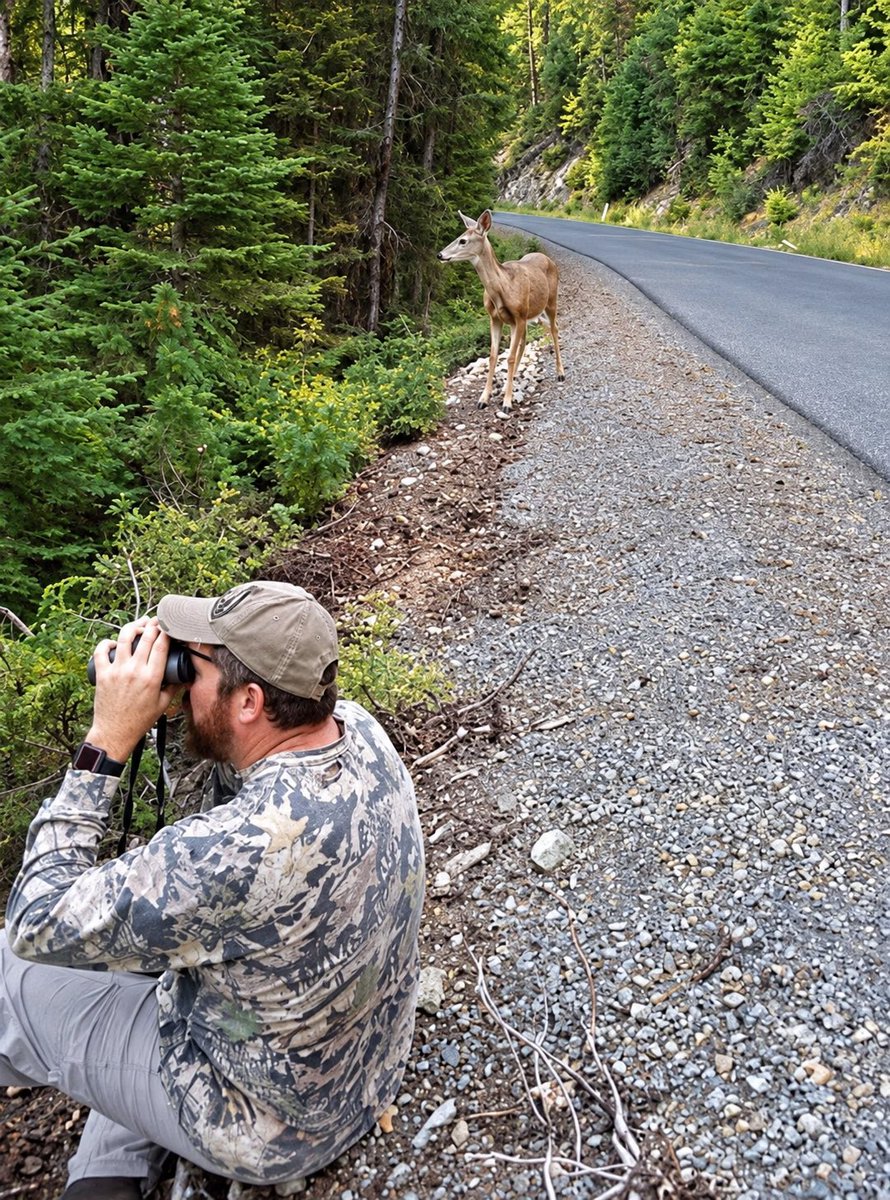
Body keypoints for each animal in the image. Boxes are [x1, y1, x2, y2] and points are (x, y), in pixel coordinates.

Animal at [437, 209, 565, 416]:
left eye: (463, 240)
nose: (440, 254)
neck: (502, 289)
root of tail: (548, 258)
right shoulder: (496, 319)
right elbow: (493, 356)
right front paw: (484, 398)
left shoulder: (518, 316)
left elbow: (510, 357)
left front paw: (507, 402)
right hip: (528, 315)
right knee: (526, 340)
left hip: (551, 301)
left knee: (555, 329)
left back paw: (560, 373)